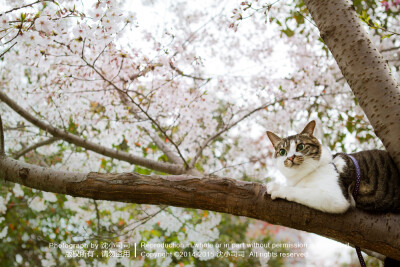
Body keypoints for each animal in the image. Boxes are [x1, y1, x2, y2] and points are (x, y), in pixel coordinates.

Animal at [266, 120, 400, 215]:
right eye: (282, 152)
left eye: (301, 146)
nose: (290, 158)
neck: (301, 176)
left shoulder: (335, 196)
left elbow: (300, 191)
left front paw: (278, 187)